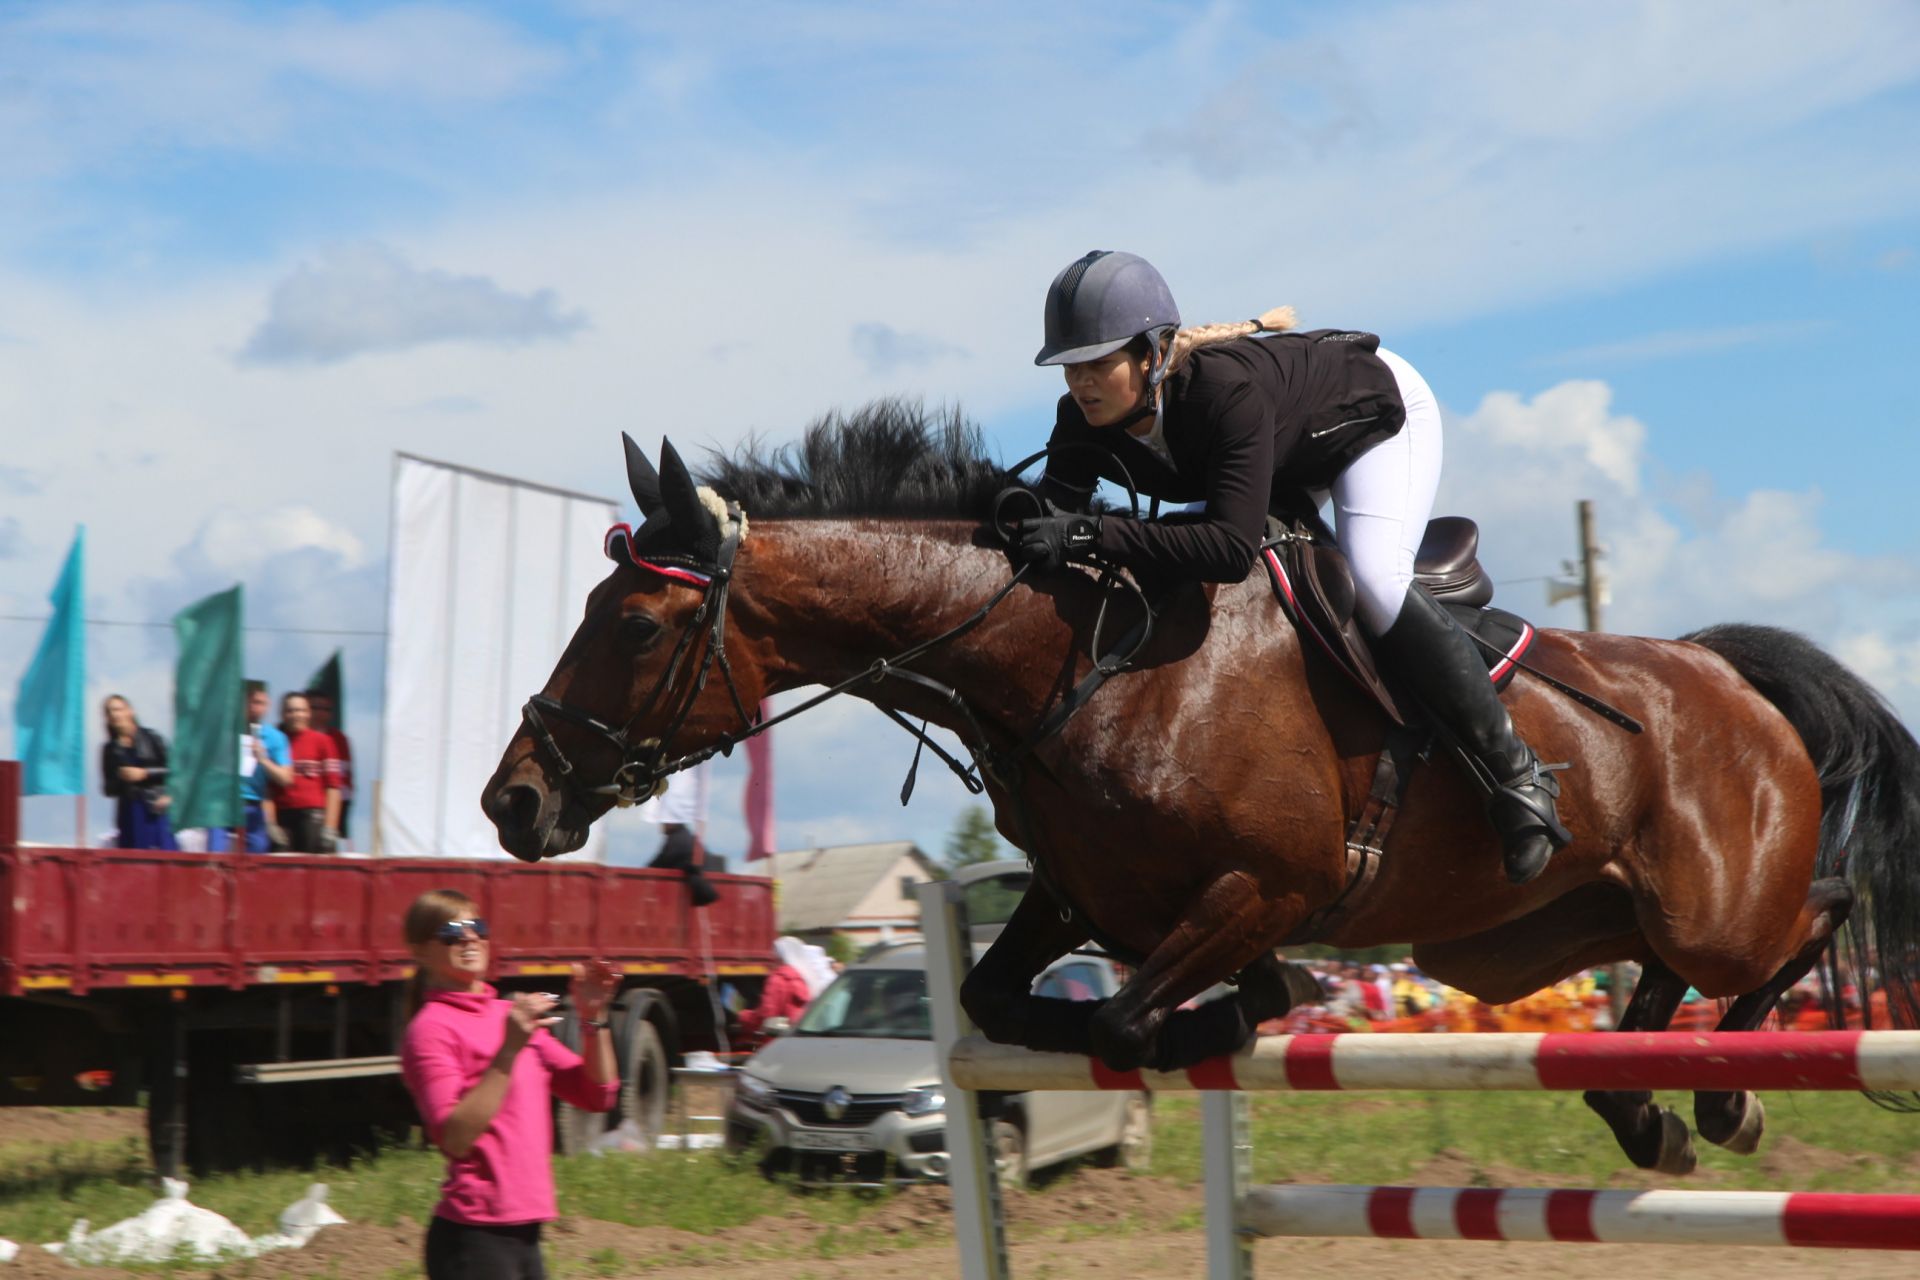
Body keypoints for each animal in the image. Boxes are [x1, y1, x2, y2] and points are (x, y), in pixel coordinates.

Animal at [480, 404, 1920, 1174]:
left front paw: (1228, 1019)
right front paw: (1240, 1015)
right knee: (1663, 994)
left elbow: (1130, 1020)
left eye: (636, 625)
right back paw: (1648, 1109)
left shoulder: (1262, 887)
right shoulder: (1092, 898)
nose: (514, 802)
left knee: (1818, 918)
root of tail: (1721, 670)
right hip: (1557, 930)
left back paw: (1721, 1097)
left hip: (1713, 905)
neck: (1078, 657)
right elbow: (1011, 1001)